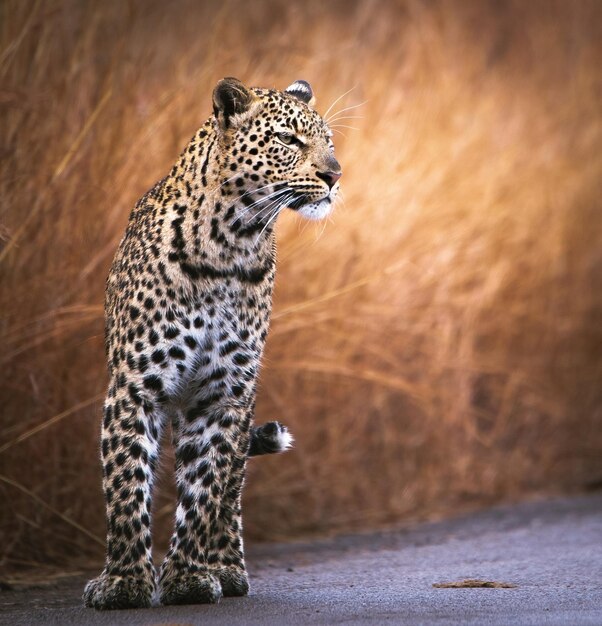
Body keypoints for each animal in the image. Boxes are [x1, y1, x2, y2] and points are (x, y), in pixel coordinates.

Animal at [83, 75, 342, 608]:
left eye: (329, 141)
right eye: (288, 139)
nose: (335, 174)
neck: (233, 241)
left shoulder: (223, 392)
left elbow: (205, 488)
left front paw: (187, 577)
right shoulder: (135, 384)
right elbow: (125, 482)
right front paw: (125, 582)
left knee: (231, 488)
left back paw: (226, 565)